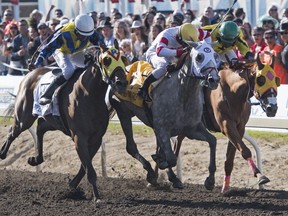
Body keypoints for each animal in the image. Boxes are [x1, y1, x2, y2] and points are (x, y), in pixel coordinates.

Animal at [0, 41, 128, 202]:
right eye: (107, 60)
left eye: (123, 59)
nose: (122, 82)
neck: (90, 95)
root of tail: (30, 73)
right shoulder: (79, 137)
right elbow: (89, 169)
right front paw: (96, 197)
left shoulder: (96, 138)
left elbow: (85, 166)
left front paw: (73, 185)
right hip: (24, 118)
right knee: (13, 132)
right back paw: (2, 154)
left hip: (54, 121)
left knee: (40, 128)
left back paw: (36, 159)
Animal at [166, 56, 280, 192]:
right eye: (261, 80)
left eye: (276, 80)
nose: (272, 108)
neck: (232, 92)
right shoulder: (226, 125)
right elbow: (245, 150)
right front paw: (260, 176)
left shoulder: (239, 127)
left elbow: (230, 158)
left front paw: (225, 186)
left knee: (177, 142)